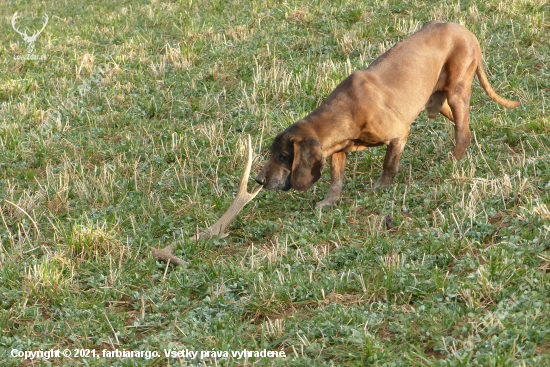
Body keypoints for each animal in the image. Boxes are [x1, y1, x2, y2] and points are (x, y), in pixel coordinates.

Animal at [256, 21, 520, 207]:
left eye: (283, 157)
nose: (259, 180)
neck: (344, 109)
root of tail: (467, 32)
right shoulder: (338, 150)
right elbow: (335, 179)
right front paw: (329, 202)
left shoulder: (399, 134)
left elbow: (388, 164)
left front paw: (382, 188)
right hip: (437, 98)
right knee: (464, 126)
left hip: (457, 91)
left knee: (462, 132)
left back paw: (454, 162)